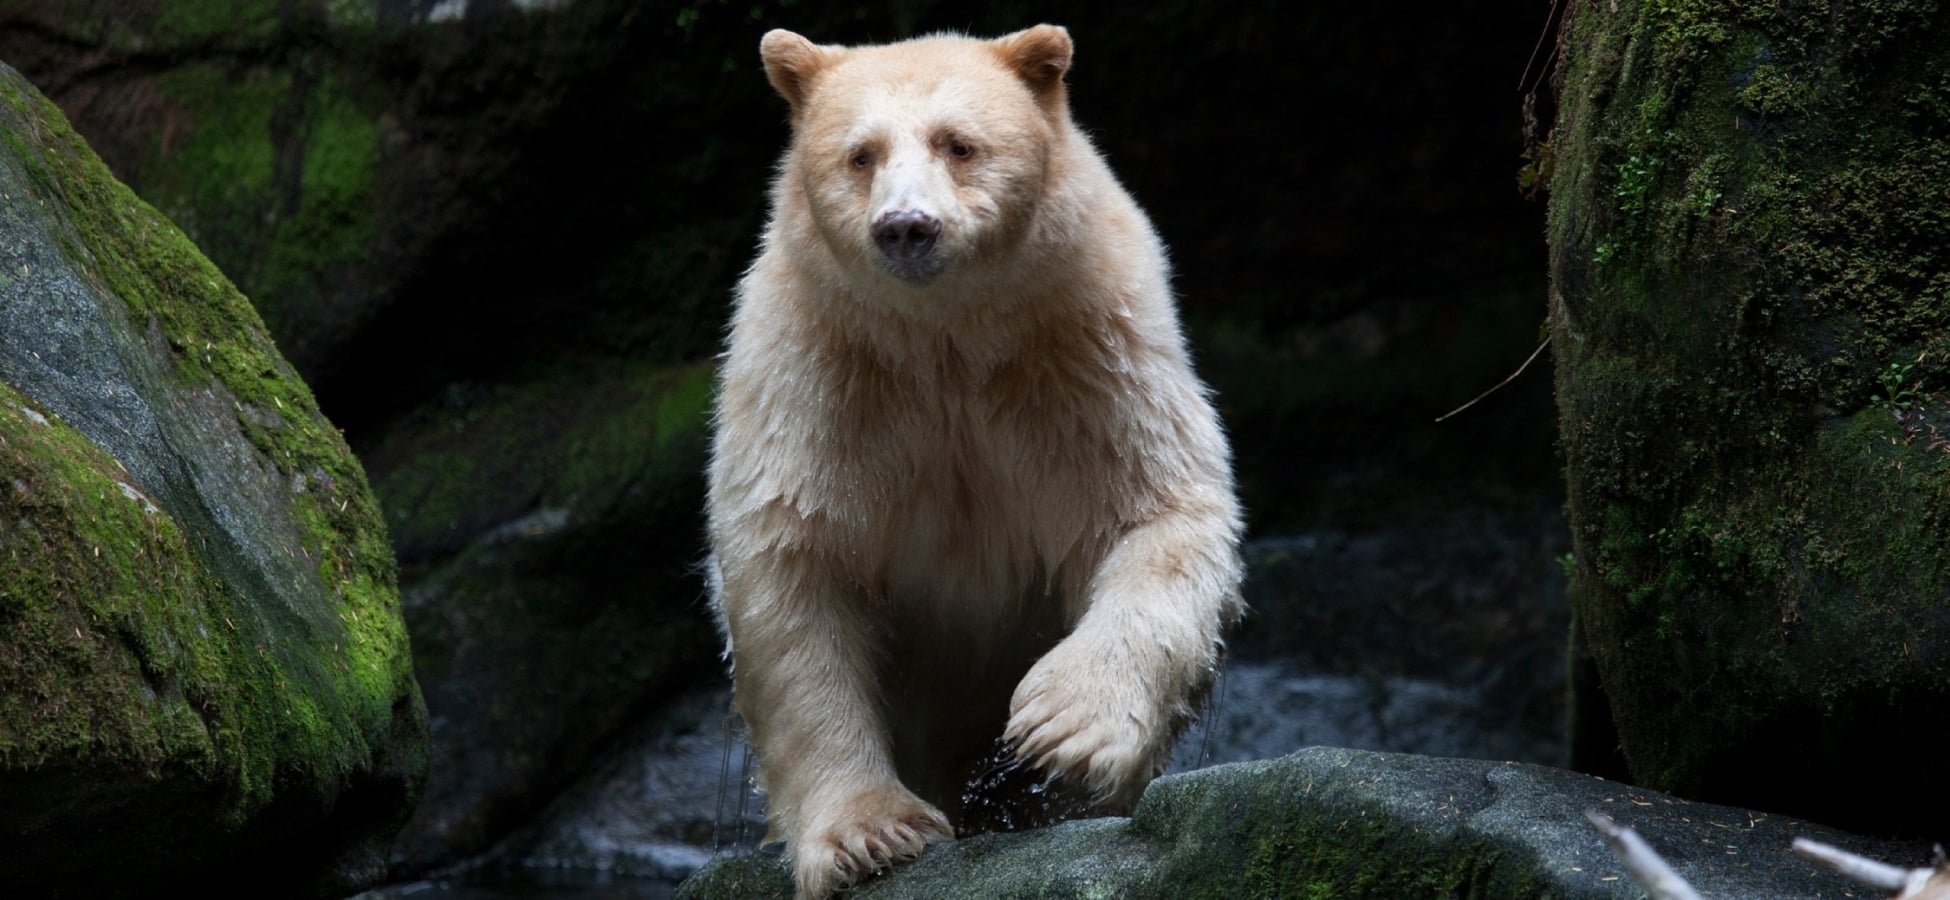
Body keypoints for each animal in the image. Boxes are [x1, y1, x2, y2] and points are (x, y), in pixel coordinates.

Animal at [706, 24, 1245, 900]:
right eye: (861, 155)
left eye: (958, 144)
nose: (906, 226)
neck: (943, 340)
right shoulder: (817, 377)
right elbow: (795, 571)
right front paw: (871, 835)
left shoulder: (1083, 350)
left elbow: (1157, 510)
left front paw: (1061, 730)